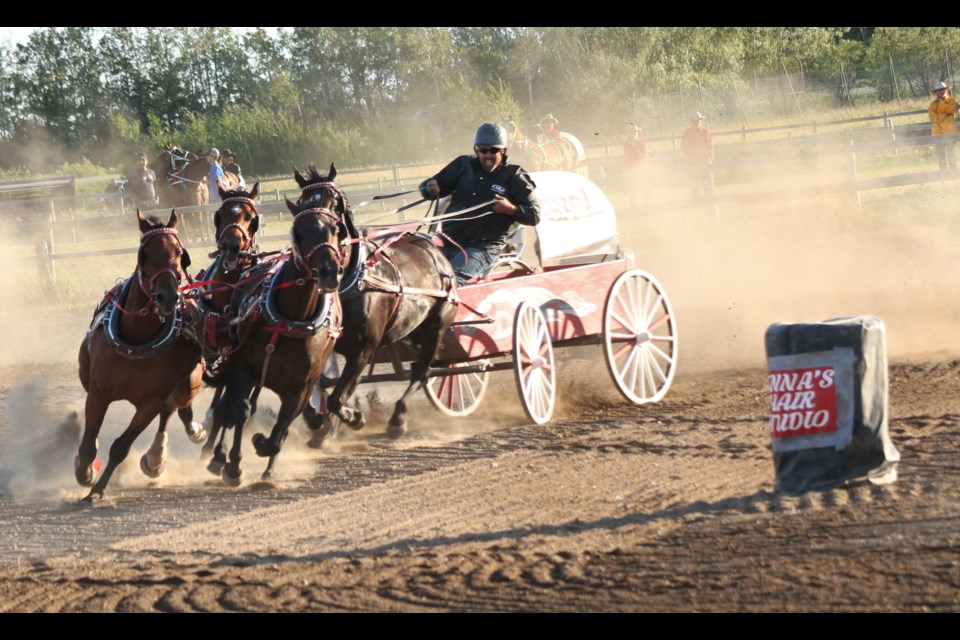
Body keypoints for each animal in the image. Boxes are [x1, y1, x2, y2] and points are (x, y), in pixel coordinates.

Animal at [77, 210, 206, 504]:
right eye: (145, 253)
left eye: (180, 253)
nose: (167, 297)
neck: (136, 342)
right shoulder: (98, 393)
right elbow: (89, 442)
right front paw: (84, 471)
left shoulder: (151, 401)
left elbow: (121, 446)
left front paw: (97, 491)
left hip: (186, 385)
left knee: (173, 411)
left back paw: (159, 456)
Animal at [206, 182, 344, 482]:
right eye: (299, 232)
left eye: (335, 228)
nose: (329, 272)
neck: (291, 318)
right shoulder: (242, 366)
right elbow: (239, 410)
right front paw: (231, 463)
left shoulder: (302, 386)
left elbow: (282, 428)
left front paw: (264, 449)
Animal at [292, 162, 458, 444]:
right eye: (301, 202)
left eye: (332, 202)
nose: (325, 270)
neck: (351, 283)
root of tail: (433, 248)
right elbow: (319, 388)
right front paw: (319, 424)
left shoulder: (363, 349)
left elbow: (337, 398)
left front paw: (354, 418)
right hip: (410, 330)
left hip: (437, 324)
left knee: (422, 371)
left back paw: (397, 419)